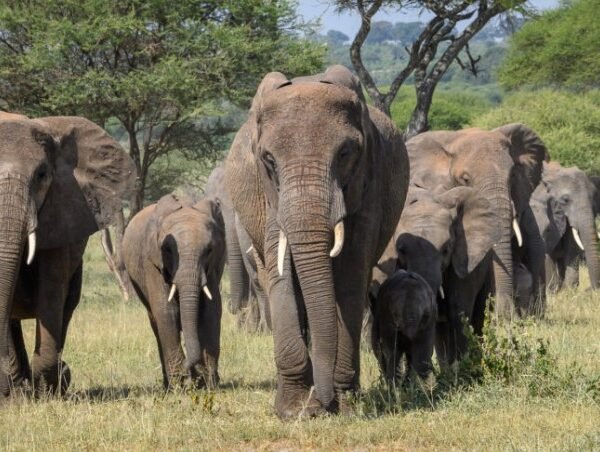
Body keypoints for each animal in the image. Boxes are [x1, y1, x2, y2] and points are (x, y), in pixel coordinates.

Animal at [0, 114, 135, 396]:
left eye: (41, 175)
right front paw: (16, 393)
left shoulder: (62, 208)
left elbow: (51, 291)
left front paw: (48, 387)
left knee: (67, 305)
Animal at [122, 194, 225, 389]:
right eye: (168, 250)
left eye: (209, 250)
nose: (191, 370)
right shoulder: (152, 262)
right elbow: (166, 311)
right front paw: (181, 384)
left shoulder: (213, 267)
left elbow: (211, 311)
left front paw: (209, 383)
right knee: (156, 323)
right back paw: (169, 385)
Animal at [223, 65, 409, 418]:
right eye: (268, 159)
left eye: (345, 153)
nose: (325, 404)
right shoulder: (268, 195)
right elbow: (280, 274)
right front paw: (295, 411)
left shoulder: (369, 182)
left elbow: (350, 274)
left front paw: (345, 406)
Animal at [530, 161, 600, 291]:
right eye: (565, 200)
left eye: (594, 197)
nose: (592, 290)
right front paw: (555, 291)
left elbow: (571, 247)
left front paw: (568, 290)